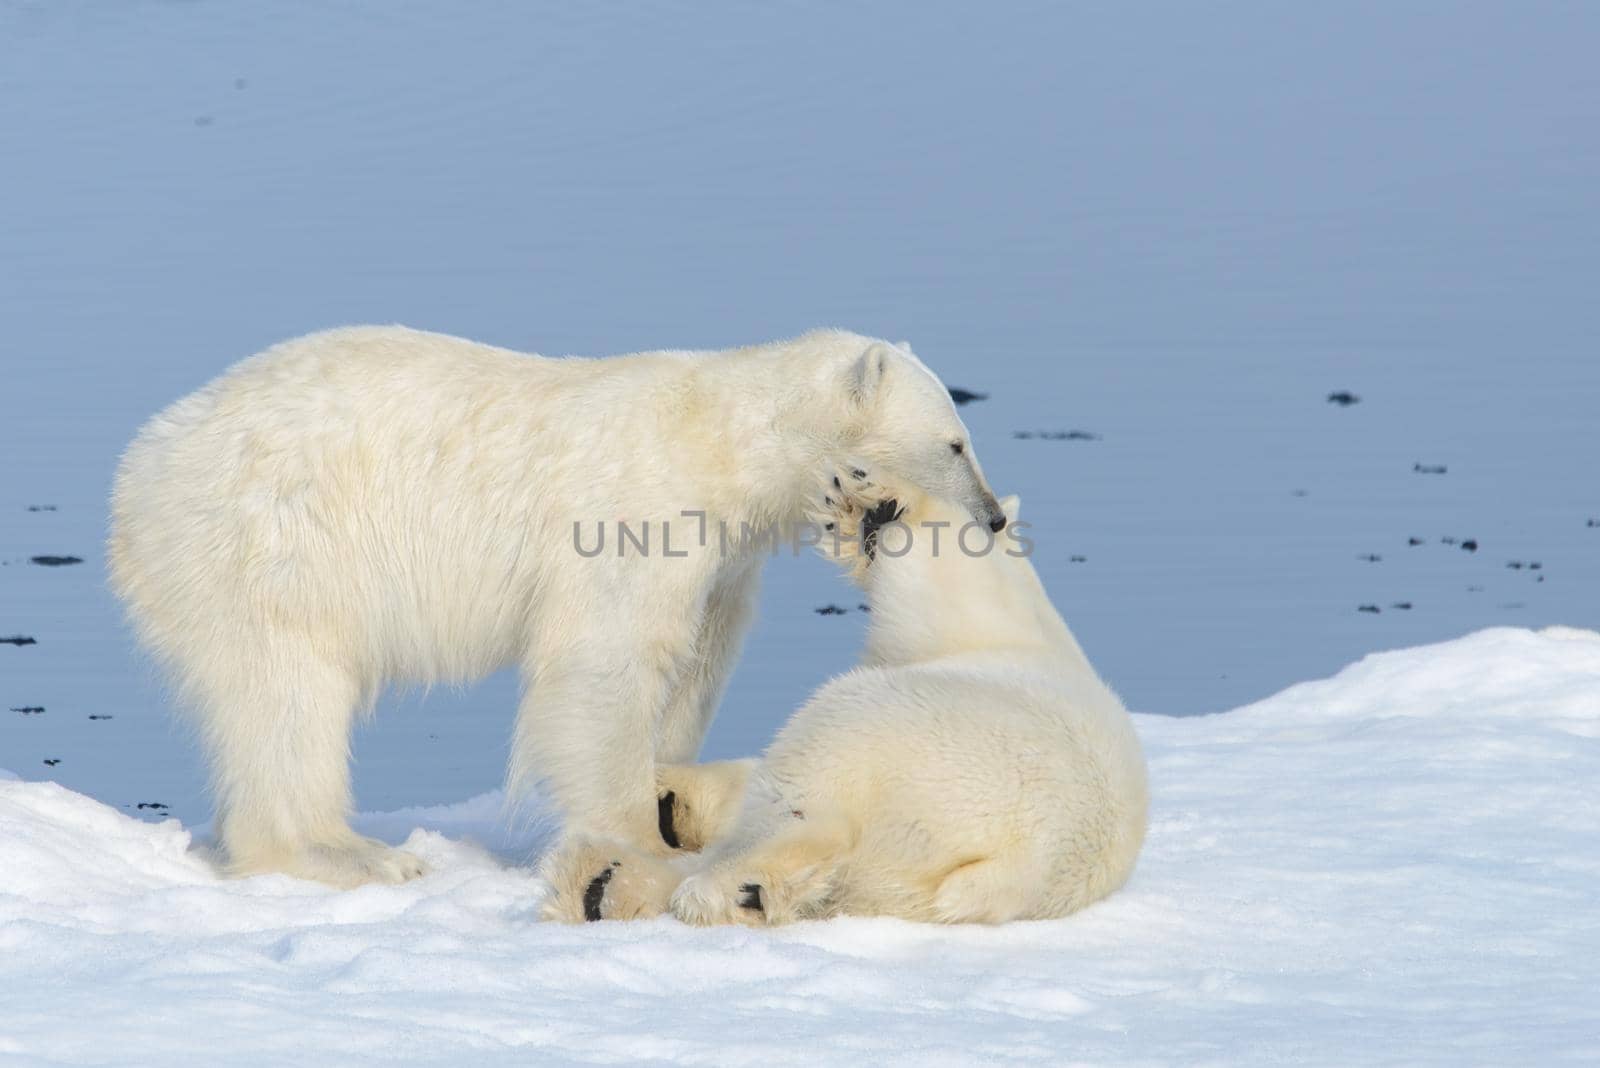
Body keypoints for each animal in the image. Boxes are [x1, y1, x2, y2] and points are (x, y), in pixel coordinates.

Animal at [109, 322, 998, 882]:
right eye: (955, 443)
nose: (992, 518)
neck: (724, 440)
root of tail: (139, 470)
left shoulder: (721, 565)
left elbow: (695, 663)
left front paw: (672, 792)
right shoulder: (637, 516)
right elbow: (604, 662)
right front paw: (641, 840)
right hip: (270, 545)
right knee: (289, 694)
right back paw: (353, 853)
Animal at [550, 470, 1152, 920]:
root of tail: (1020, 865)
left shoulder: (971, 621)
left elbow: (937, 563)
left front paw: (874, 505)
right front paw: (671, 799)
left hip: (914, 738)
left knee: (815, 786)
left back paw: (714, 886)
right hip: (903, 878)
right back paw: (613, 881)